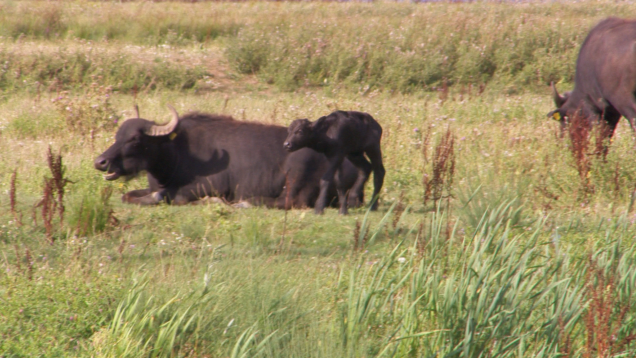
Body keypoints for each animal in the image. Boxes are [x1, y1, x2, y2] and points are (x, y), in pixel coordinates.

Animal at [92, 106, 366, 207]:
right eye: (118, 135)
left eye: (135, 139)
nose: (100, 161)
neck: (175, 154)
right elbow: (128, 195)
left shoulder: (203, 187)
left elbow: (166, 196)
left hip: (296, 177)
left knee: (287, 202)